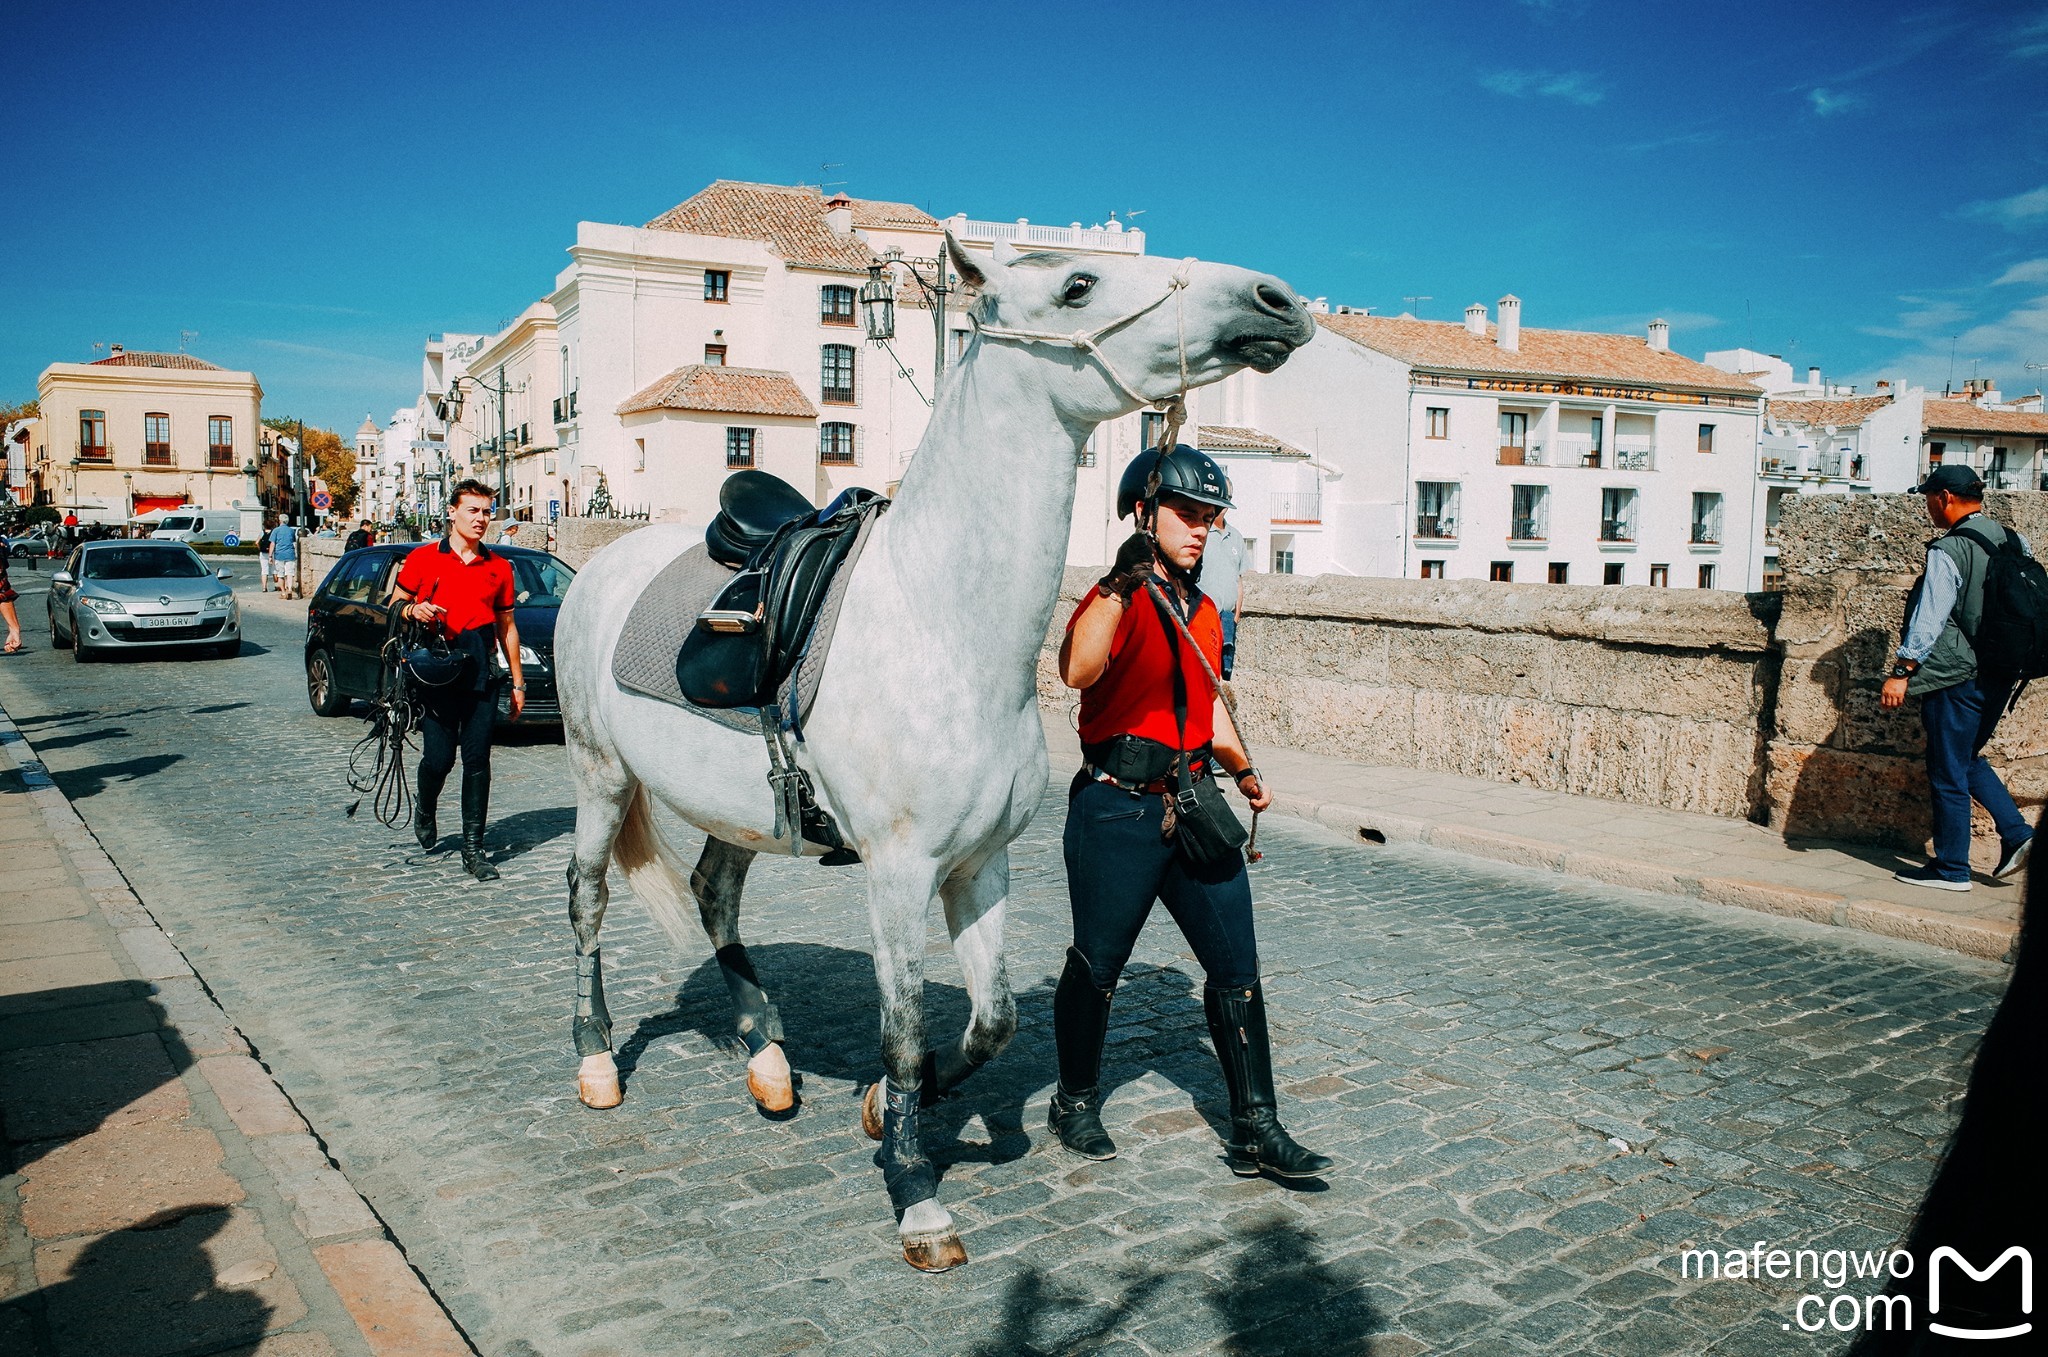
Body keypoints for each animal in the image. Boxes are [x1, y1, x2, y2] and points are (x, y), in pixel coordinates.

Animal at [552, 236, 1310, 1277]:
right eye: (1078, 284)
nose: (1274, 300)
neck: (944, 619)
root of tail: (601, 568)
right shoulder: (899, 872)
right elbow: (906, 1030)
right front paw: (916, 1192)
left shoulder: (979, 864)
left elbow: (993, 1022)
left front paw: (886, 1111)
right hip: (597, 773)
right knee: (587, 898)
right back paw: (595, 1057)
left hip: (737, 808)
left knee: (714, 894)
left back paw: (768, 1057)